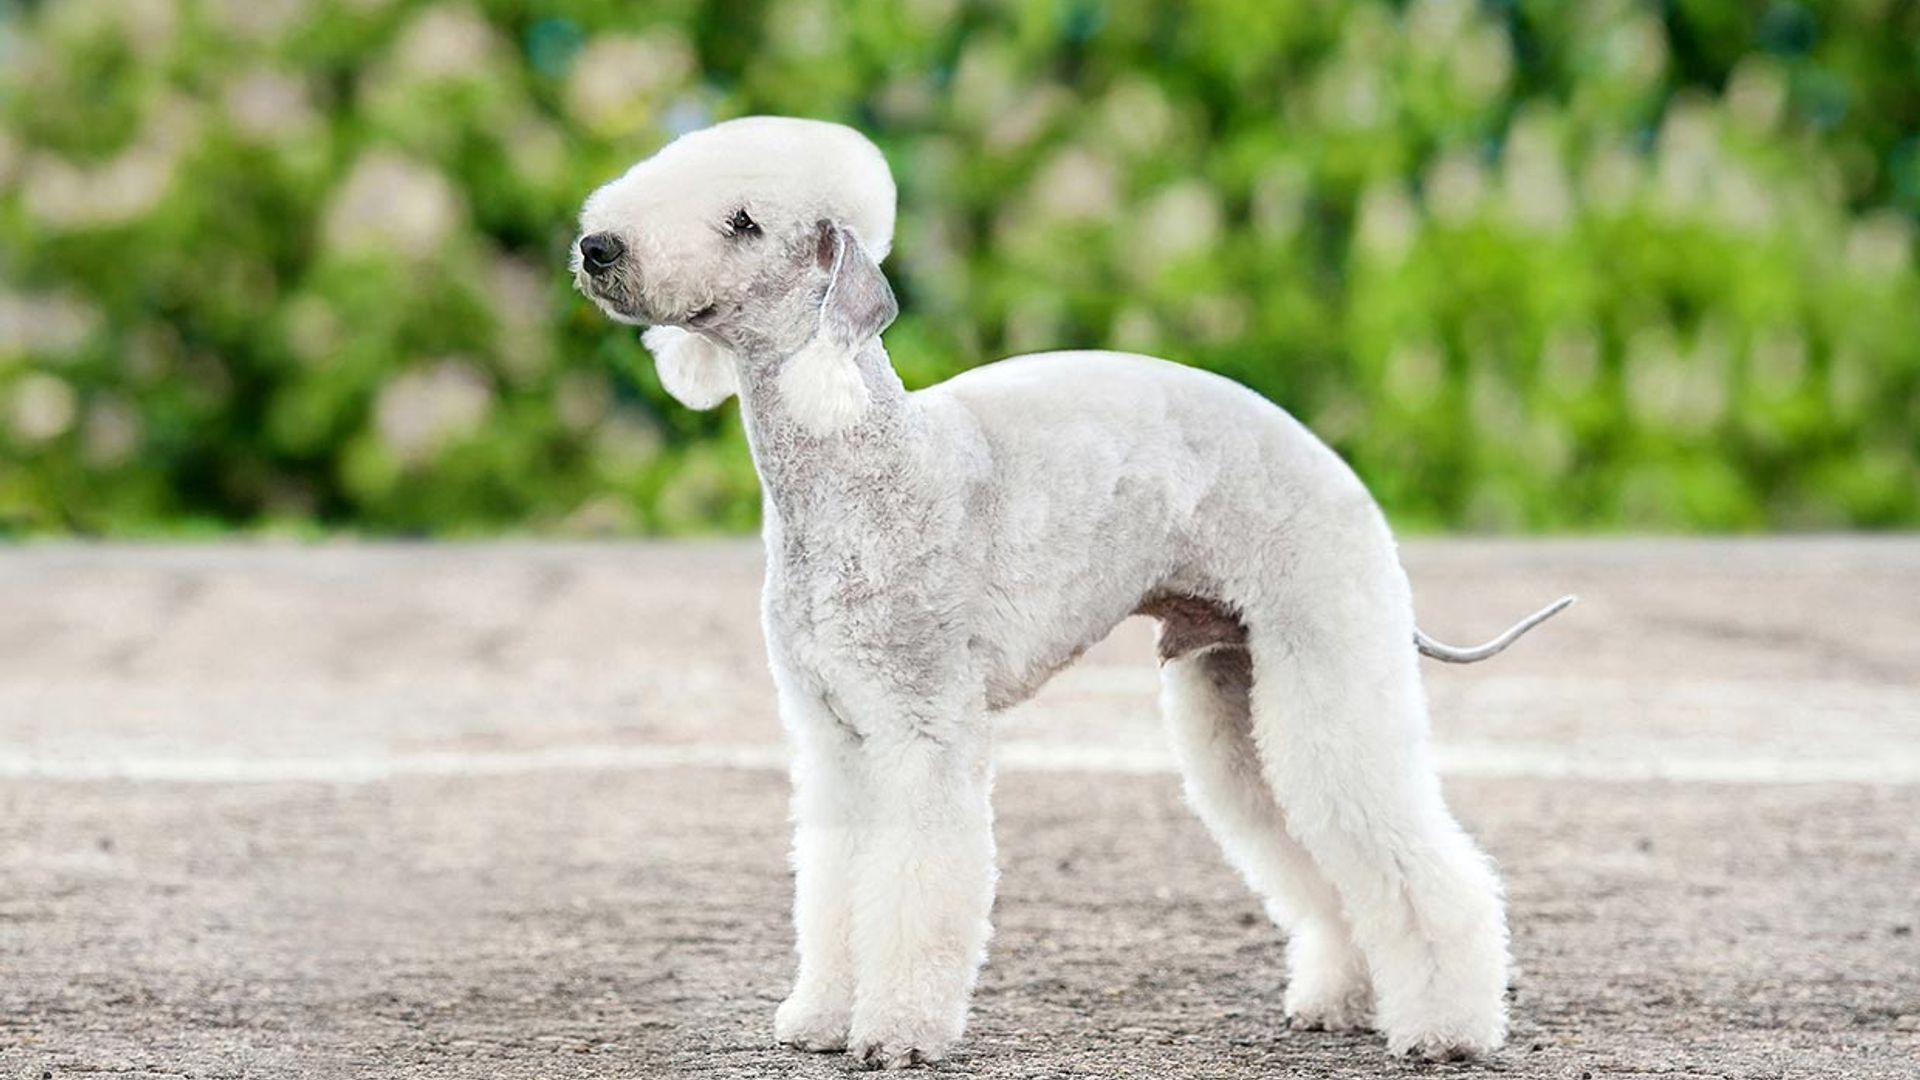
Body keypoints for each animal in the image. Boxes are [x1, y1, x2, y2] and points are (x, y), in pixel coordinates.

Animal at [576, 115, 1566, 1060]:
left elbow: (916, 886)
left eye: (744, 222)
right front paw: (820, 1017)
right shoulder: (833, 736)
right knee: (1308, 850)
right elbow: (834, 887)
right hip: (1237, 692)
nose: (597, 248)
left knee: (1414, 856)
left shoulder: (923, 727)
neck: (862, 462)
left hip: (1329, 663)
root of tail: (1341, 474)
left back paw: (1447, 1029)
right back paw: (1344, 1001)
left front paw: (896, 1030)